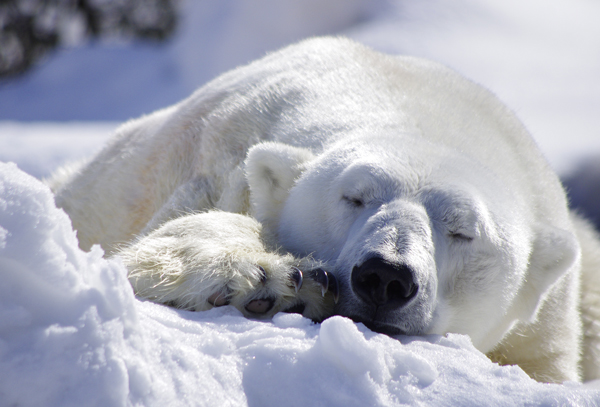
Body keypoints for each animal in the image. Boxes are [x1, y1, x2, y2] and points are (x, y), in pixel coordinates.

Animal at [49, 36, 600, 384]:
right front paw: (263, 278)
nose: (385, 276)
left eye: (462, 230)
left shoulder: (546, 328)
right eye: (352, 197)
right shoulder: (227, 154)